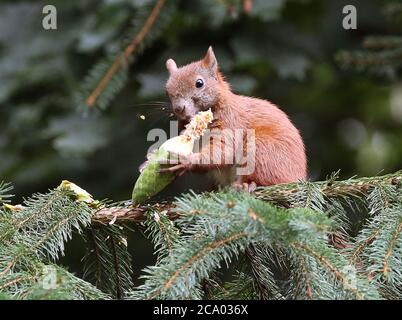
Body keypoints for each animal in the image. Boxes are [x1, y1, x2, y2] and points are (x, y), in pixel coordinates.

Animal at [159, 46, 306, 189]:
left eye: (199, 83)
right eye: (167, 91)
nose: (179, 108)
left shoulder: (231, 123)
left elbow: (224, 150)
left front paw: (187, 160)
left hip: (262, 150)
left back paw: (247, 185)